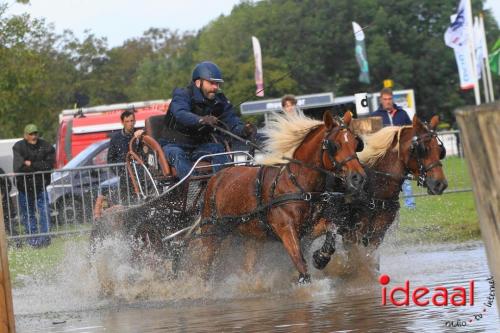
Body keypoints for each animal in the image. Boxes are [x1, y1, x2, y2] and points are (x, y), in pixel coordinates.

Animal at [188, 110, 368, 282]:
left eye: (356, 144)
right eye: (335, 145)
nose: (358, 178)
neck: (297, 183)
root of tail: (217, 176)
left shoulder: (310, 228)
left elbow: (332, 227)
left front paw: (320, 257)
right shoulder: (286, 230)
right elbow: (301, 264)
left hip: (252, 237)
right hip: (212, 233)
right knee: (204, 265)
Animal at [312, 115, 450, 270]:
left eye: (440, 150)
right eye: (423, 149)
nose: (440, 184)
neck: (374, 191)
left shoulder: (377, 234)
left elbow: (368, 259)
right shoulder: (352, 233)